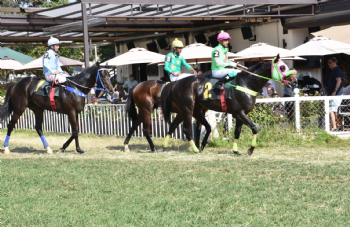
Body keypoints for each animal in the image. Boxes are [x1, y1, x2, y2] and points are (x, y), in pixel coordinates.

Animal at [163, 55, 296, 155]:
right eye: (282, 67)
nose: (294, 81)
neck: (246, 83)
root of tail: (175, 84)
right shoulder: (239, 112)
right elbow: (254, 128)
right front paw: (250, 149)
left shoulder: (240, 115)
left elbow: (237, 132)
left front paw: (236, 151)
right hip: (187, 109)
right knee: (186, 129)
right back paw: (195, 149)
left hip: (188, 110)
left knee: (175, 125)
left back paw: (168, 146)